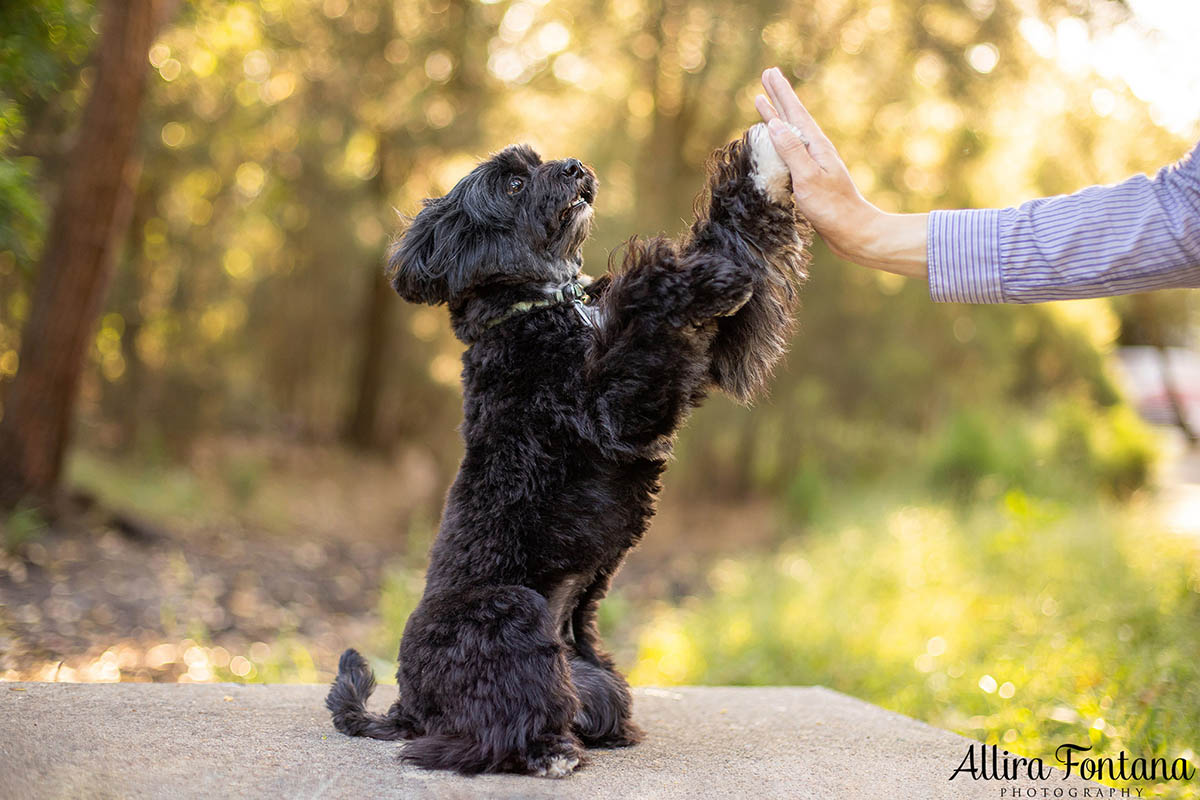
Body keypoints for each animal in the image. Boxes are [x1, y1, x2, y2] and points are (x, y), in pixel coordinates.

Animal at [328, 125, 811, 777]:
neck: (546, 309)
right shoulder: (614, 406)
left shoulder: (691, 359)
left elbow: (734, 232)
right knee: (472, 738)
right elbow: (647, 309)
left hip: (592, 677)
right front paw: (678, 276)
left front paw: (765, 165)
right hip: (510, 614)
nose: (576, 166)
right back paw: (547, 753)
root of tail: (409, 703)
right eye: (513, 182)